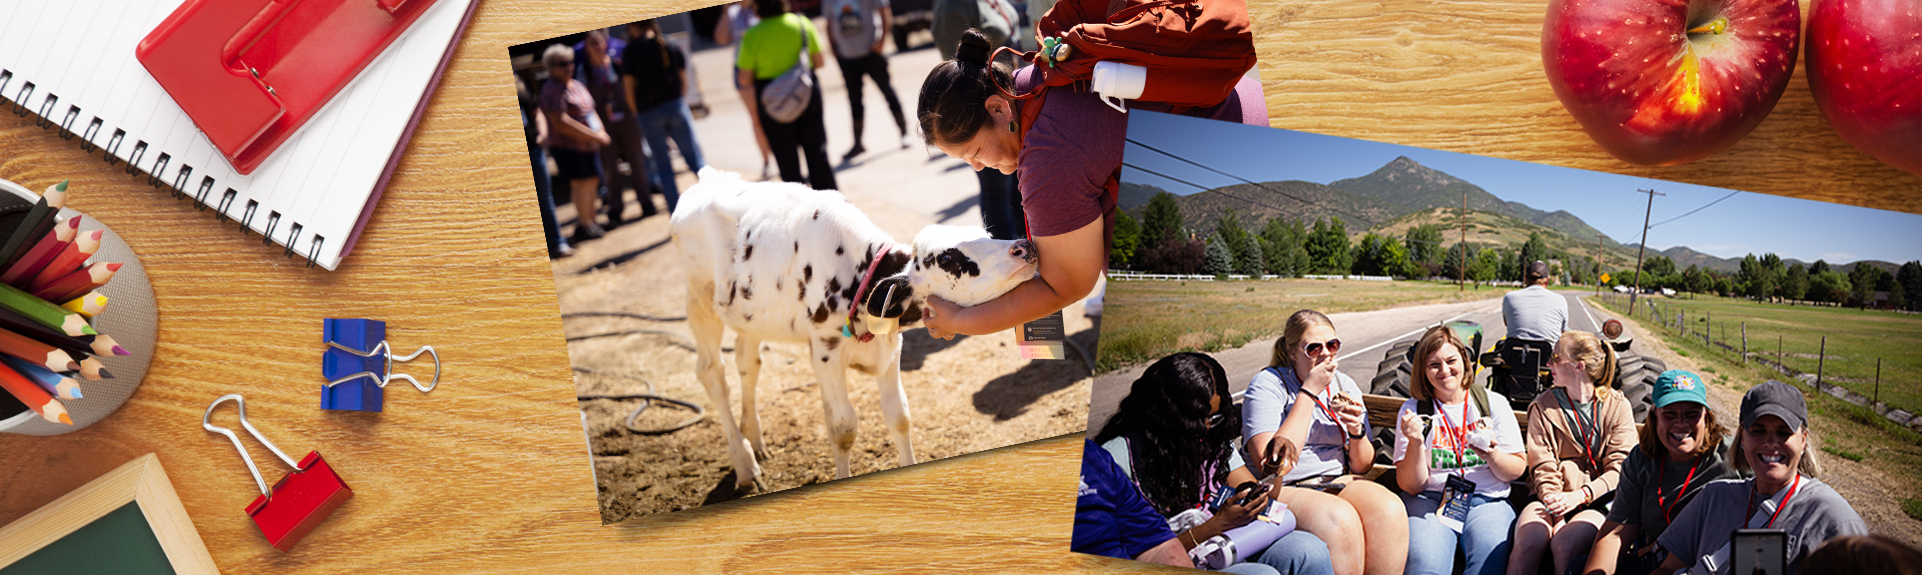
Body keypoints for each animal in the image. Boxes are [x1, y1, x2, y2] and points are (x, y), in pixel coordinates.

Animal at [672, 169, 1037, 488]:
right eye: (946, 258)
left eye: (986, 233)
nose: (1023, 246)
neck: (856, 274)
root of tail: (708, 178)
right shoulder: (824, 354)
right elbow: (843, 428)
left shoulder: (891, 348)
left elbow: (899, 416)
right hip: (699, 300)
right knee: (712, 372)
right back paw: (744, 462)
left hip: (748, 318)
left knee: (747, 363)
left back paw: (755, 439)